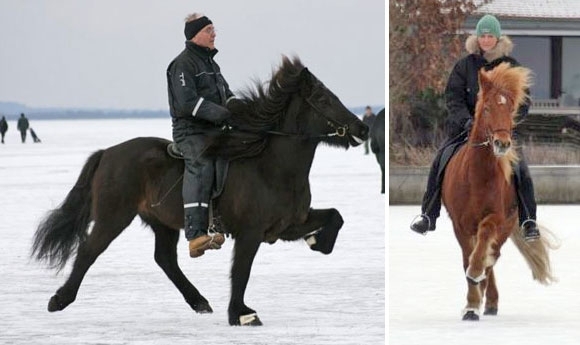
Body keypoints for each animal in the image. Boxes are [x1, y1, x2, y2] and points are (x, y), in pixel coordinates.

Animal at [31, 55, 368, 326]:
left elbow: (335, 216)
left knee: (165, 259)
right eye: (323, 99)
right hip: (114, 216)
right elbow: (241, 270)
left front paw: (318, 242)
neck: (271, 166)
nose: (362, 129)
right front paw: (241, 314)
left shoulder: (286, 225)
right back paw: (59, 300)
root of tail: (107, 153)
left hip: (161, 222)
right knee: (89, 250)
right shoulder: (251, 231)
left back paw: (200, 302)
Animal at [444, 62, 556, 320]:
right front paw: (471, 304)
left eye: (510, 109)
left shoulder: (495, 218)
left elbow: (481, 253)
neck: (477, 176)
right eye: (486, 108)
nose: (502, 144)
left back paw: (490, 299)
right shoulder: (460, 225)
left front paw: (475, 291)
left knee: (492, 257)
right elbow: (467, 258)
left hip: (506, 226)